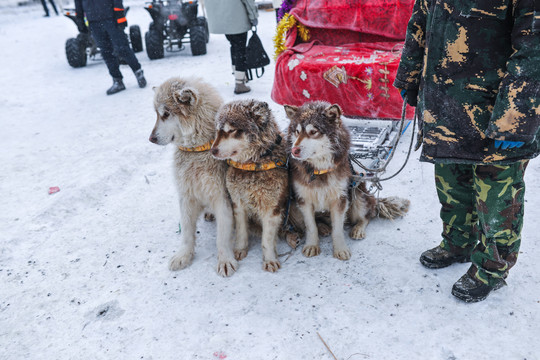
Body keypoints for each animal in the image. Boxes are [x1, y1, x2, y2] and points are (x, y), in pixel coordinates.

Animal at [150, 77, 238, 278]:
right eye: (157, 115)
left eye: (166, 114)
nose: (151, 139)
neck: (196, 151)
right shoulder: (186, 197)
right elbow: (187, 233)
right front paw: (184, 255)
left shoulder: (222, 199)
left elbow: (222, 237)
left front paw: (225, 260)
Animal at [210, 100, 300, 272]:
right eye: (218, 131)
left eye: (231, 130)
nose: (212, 150)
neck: (253, 164)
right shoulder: (238, 204)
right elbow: (241, 231)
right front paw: (240, 250)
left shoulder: (272, 209)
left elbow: (267, 240)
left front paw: (269, 259)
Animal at [284, 100, 408, 258]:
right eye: (297, 132)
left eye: (313, 132)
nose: (294, 151)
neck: (319, 170)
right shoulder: (303, 200)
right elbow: (311, 226)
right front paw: (312, 244)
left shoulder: (340, 199)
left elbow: (337, 229)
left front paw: (340, 249)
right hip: (293, 206)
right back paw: (323, 227)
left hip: (358, 194)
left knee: (368, 215)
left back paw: (358, 228)